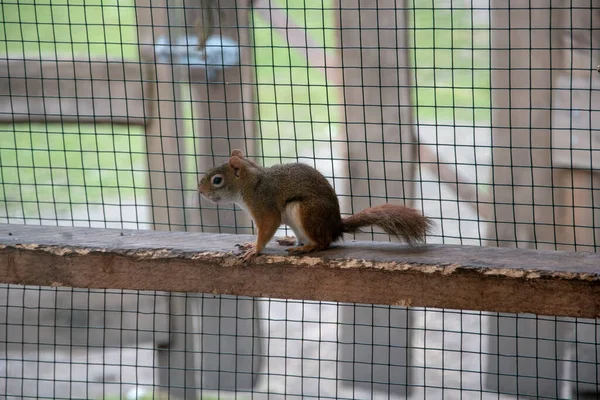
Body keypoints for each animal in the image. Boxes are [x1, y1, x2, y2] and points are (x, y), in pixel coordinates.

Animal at [199, 148, 434, 260]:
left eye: (217, 180)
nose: (200, 191)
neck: (251, 184)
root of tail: (335, 226)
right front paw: (250, 245)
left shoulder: (265, 206)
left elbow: (267, 227)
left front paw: (255, 249)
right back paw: (292, 240)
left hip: (304, 212)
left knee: (323, 242)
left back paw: (306, 247)